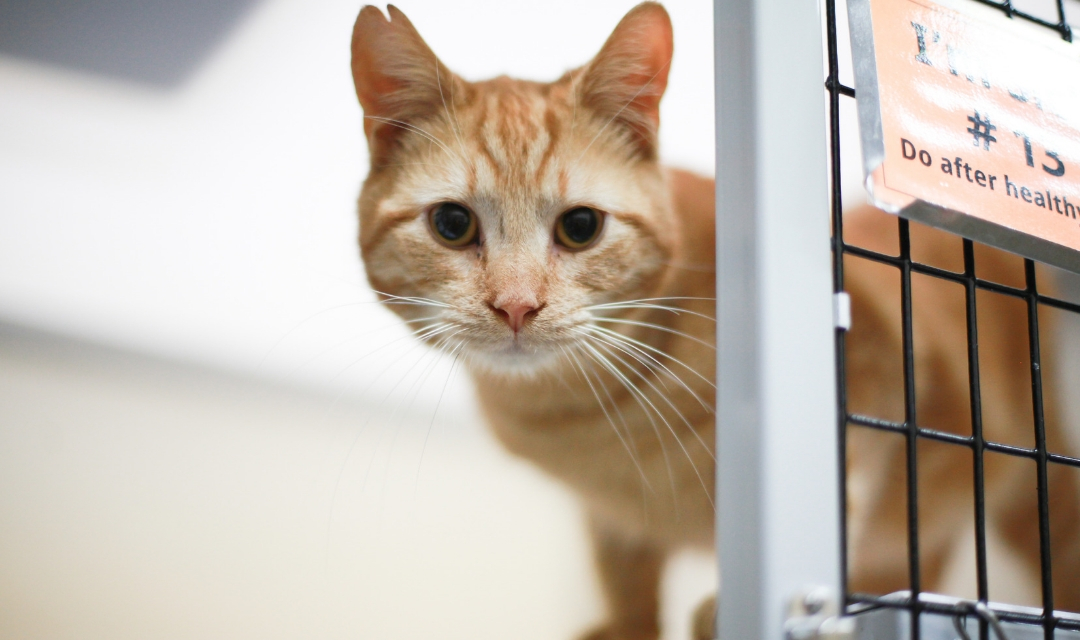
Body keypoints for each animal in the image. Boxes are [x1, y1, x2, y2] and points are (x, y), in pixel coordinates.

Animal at [347, 2, 1080, 634]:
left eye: (580, 227)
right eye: (452, 224)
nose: (517, 303)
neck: (582, 419)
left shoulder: (875, 375)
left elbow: (835, 500)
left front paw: (742, 608)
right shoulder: (609, 520)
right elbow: (624, 572)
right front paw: (626, 626)